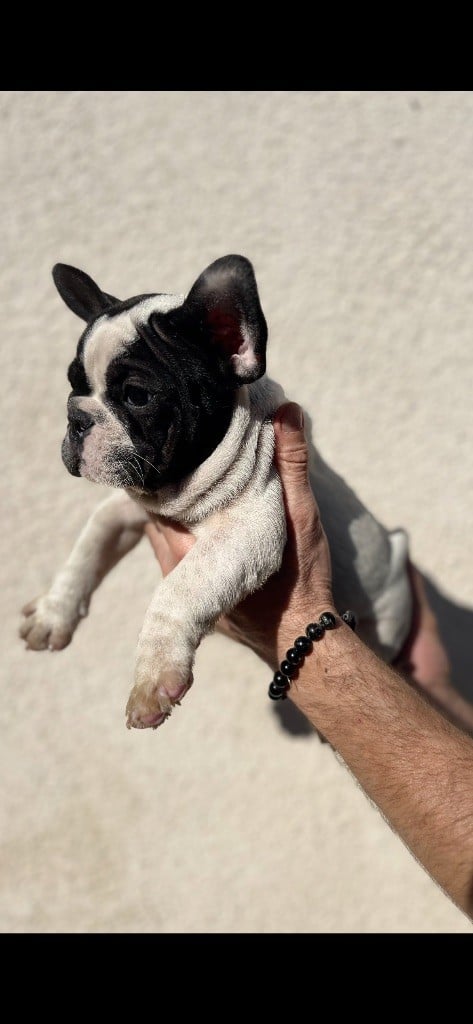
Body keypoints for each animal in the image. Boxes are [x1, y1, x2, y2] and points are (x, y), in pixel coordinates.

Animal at [20, 255, 413, 730]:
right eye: (74, 384)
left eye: (137, 396)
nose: (76, 417)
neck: (181, 487)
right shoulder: (128, 506)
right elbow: (88, 544)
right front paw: (53, 612)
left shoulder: (249, 528)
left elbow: (178, 589)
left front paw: (153, 677)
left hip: (389, 616)